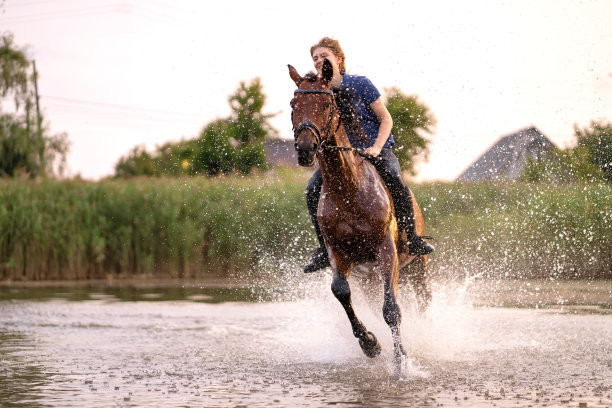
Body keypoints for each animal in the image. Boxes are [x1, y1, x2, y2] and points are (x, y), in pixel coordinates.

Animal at [290, 59, 430, 374]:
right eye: (293, 104)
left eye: (327, 104)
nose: (305, 149)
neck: (348, 188)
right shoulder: (337, 252)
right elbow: (340, 291)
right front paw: (370, 344)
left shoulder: (386, 250)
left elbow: (391, 309)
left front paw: (401, 361)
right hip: (370, 281)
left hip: (418, 269)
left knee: (423, 304)